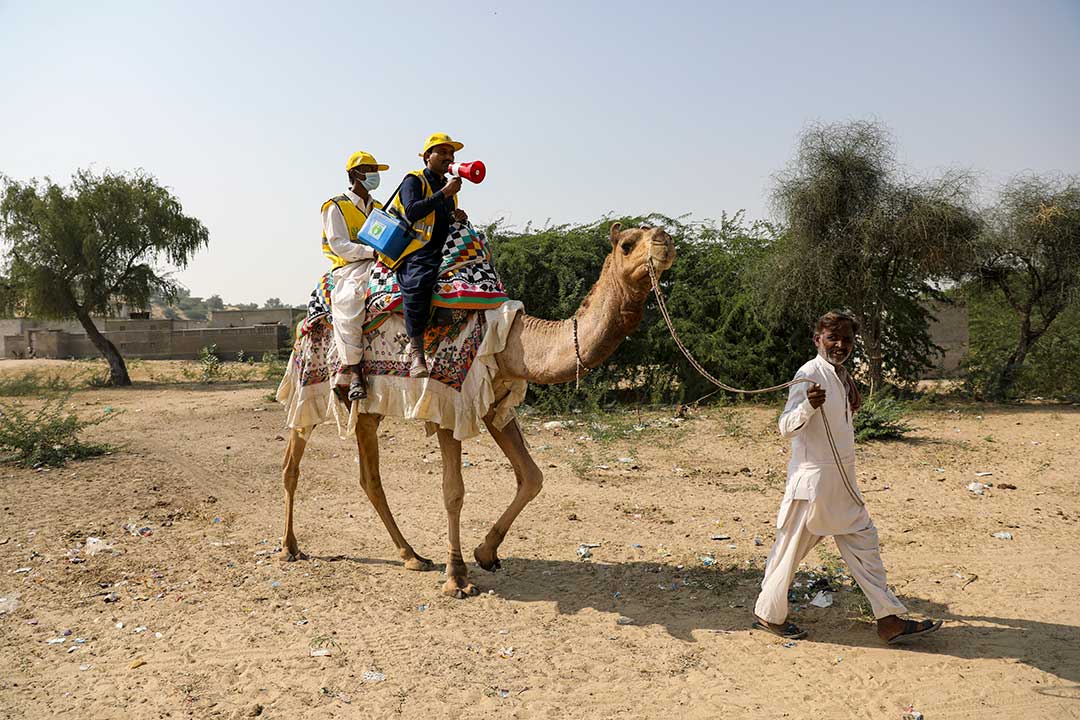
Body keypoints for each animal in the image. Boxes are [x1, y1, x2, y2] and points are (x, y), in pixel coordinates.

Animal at [280, 222, 673, 600]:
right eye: (627, 244)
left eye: (653, 231)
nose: (665, 240)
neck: (511, 337)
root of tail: (301, 322)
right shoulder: (446, 404)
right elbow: (453, 491)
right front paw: (457, 578)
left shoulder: (494, 401)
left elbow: (532, 477)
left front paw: (486, 553)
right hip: (307, 385)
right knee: (296, 463)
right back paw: (290, 548)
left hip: (367, 409)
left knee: (368, 477)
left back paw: (411, 555)